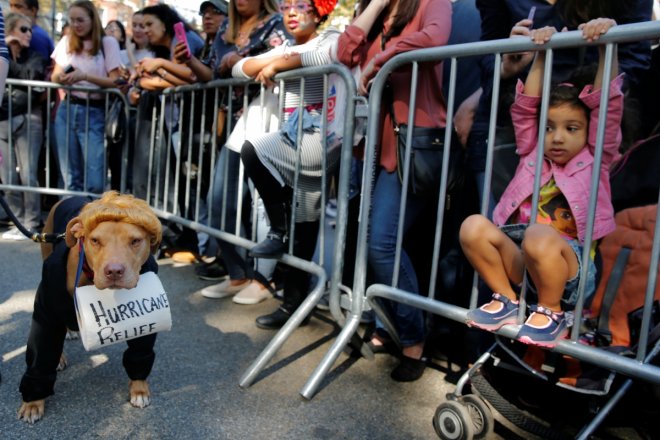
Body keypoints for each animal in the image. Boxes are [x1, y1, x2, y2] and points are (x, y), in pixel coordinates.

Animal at [17, 192, 162, 422]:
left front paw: (139, 390)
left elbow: (140, 353)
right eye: (95, 240)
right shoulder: (46, 313)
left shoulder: (146, 320)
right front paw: (32, 403)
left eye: (135, 241)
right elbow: (41, 355)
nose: (114, 271)